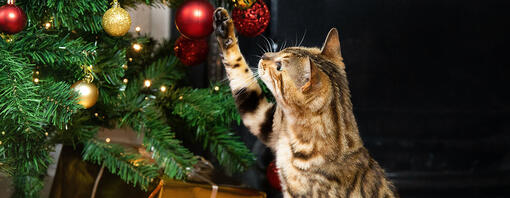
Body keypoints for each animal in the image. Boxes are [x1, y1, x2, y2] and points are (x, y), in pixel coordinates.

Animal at [211, 8, 398, 198]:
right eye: (282, 49)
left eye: (279, 66)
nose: (263, 55)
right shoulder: (267, 123)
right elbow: (241, 76)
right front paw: (224, 29)